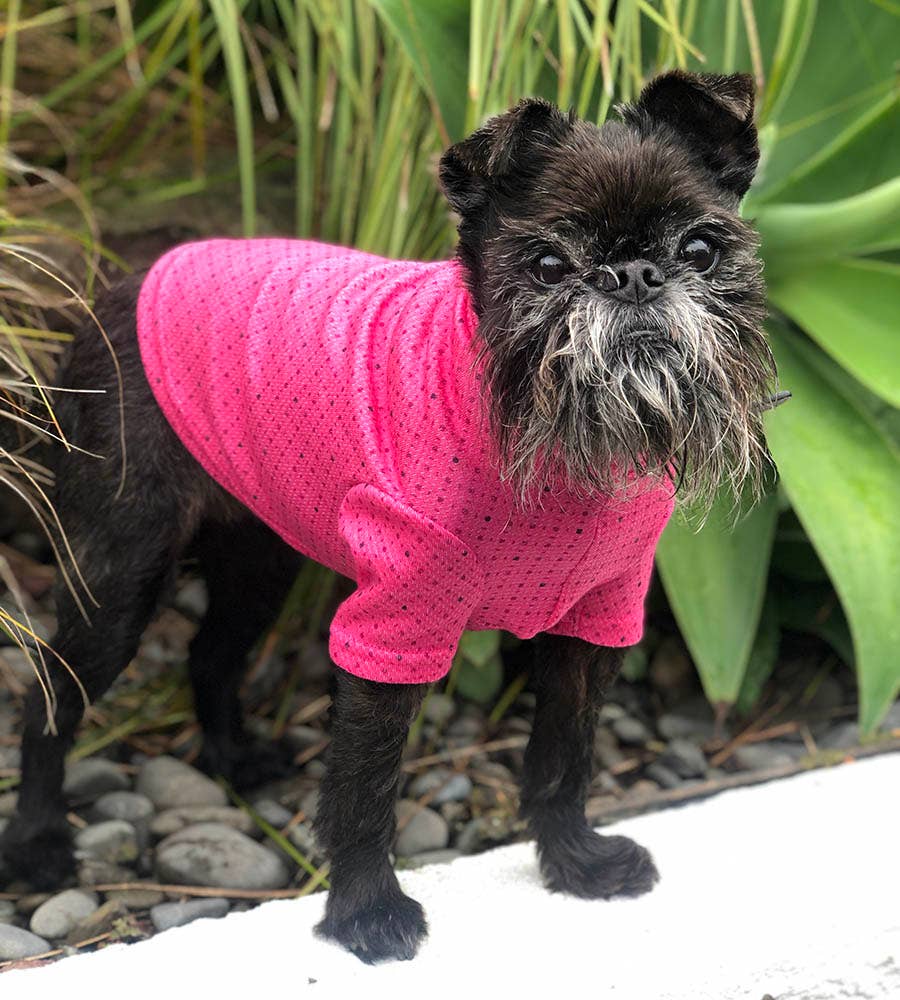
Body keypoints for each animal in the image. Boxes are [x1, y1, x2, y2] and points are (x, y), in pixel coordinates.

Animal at [1, 70, 776, 963]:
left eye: (700, 250)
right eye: (547, 265)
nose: (636, 276)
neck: (542, 450)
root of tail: (118, 289)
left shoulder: (595, 625)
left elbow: (565, 757)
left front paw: (576, 863)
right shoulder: (391, 632)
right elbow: (366, 785)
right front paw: (367, 911)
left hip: (260, 561)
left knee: (210, 654)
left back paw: (232, 759)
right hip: (123, 577)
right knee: (50, 694)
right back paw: (36, 843)